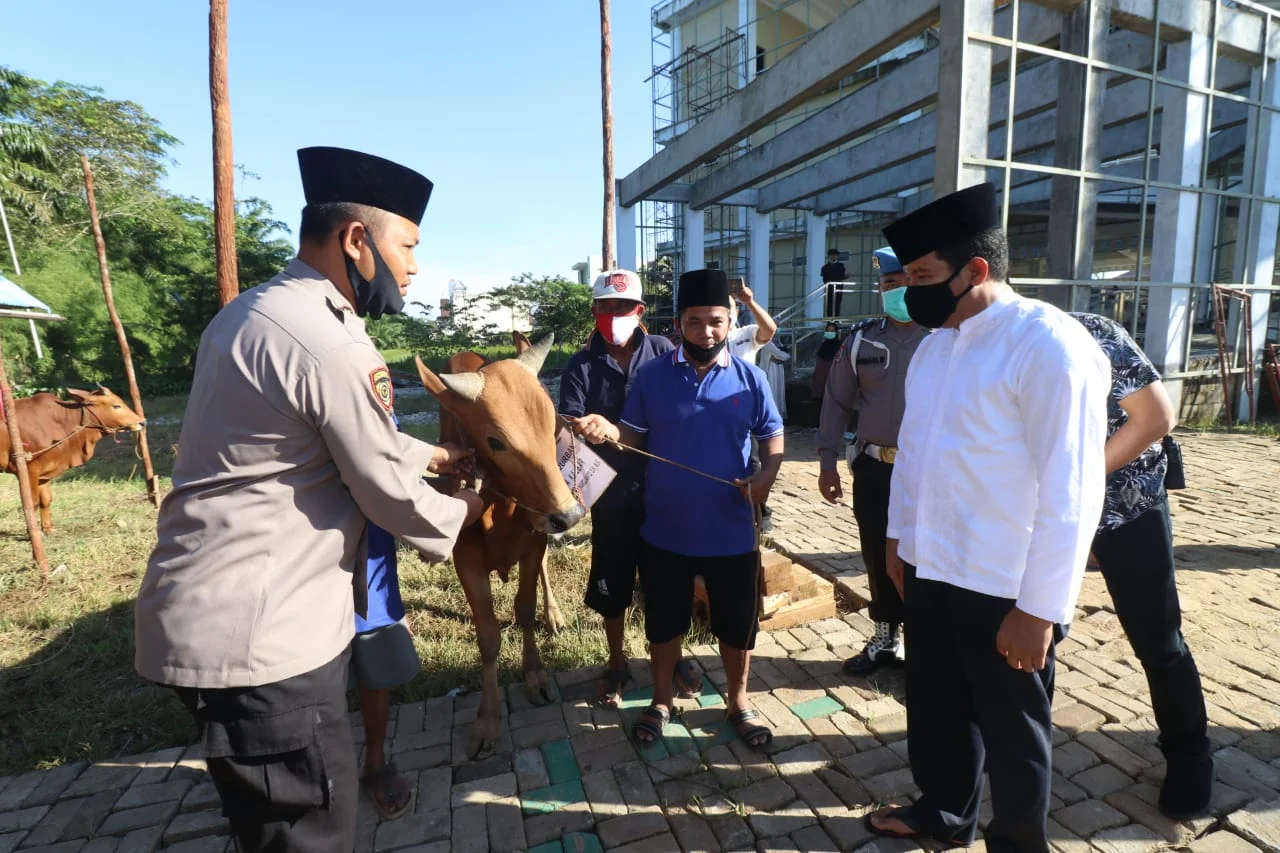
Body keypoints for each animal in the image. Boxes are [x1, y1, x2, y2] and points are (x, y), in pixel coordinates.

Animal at [0, 386, 145, 532]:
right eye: (116, 406)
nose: (142, 422)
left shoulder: (45, 471)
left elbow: (46, 500)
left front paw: (48, 529)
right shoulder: (29, 470)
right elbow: (32, 504)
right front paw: (34, 533)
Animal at [414, 333, 586, 758]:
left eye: (552, 422)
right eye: (495, 441)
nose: (569, 514)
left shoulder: (533, 544)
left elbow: (524, 609)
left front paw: (535, 674)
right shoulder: (467, 563)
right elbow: (488, 638)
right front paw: (488, 719)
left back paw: (554, 615)